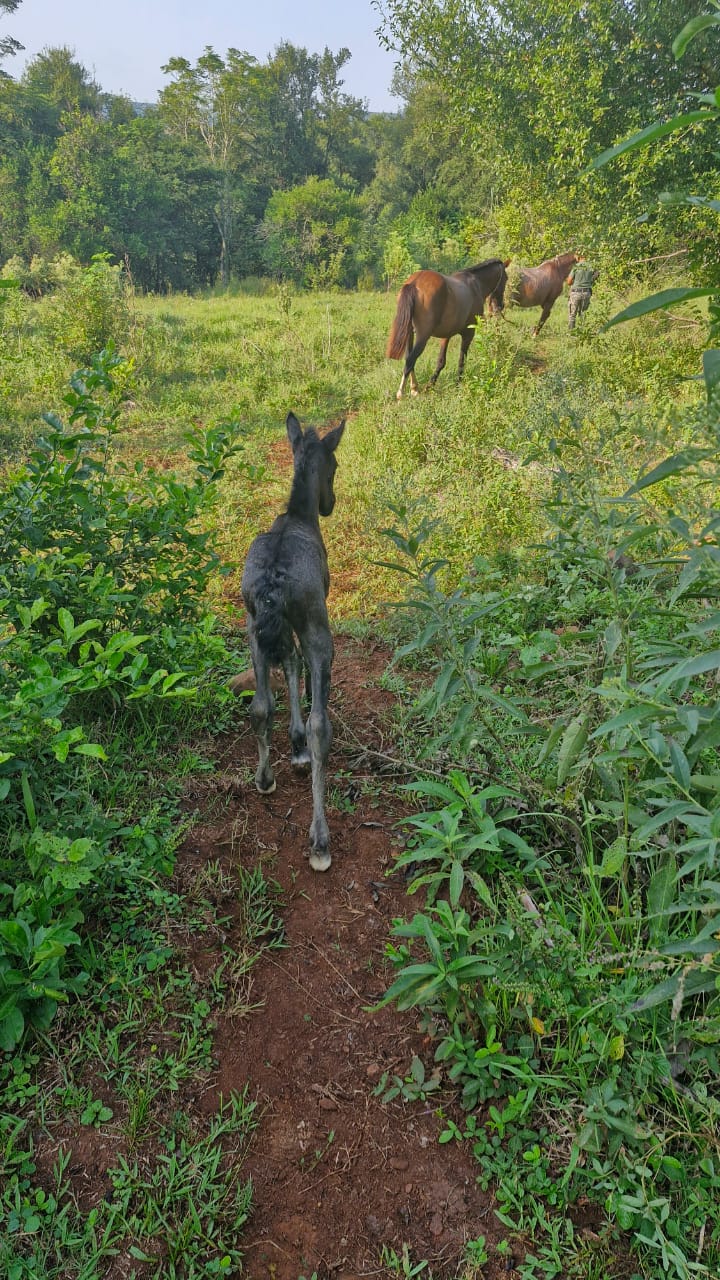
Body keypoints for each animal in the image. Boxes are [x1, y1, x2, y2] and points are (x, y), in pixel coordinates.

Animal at [384, 257, 507, 396]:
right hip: (422, 336)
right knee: (410, 360)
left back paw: (414, 388)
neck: (476, 284)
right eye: (506, 278)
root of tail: (414, 283)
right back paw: (401, 394)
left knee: (409, 359)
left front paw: (430, 386)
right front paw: (458, 385)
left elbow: (441, 361)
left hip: (409, 333)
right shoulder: (468, 334)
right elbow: (461, 361)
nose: (500, 306)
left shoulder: (446, 335)